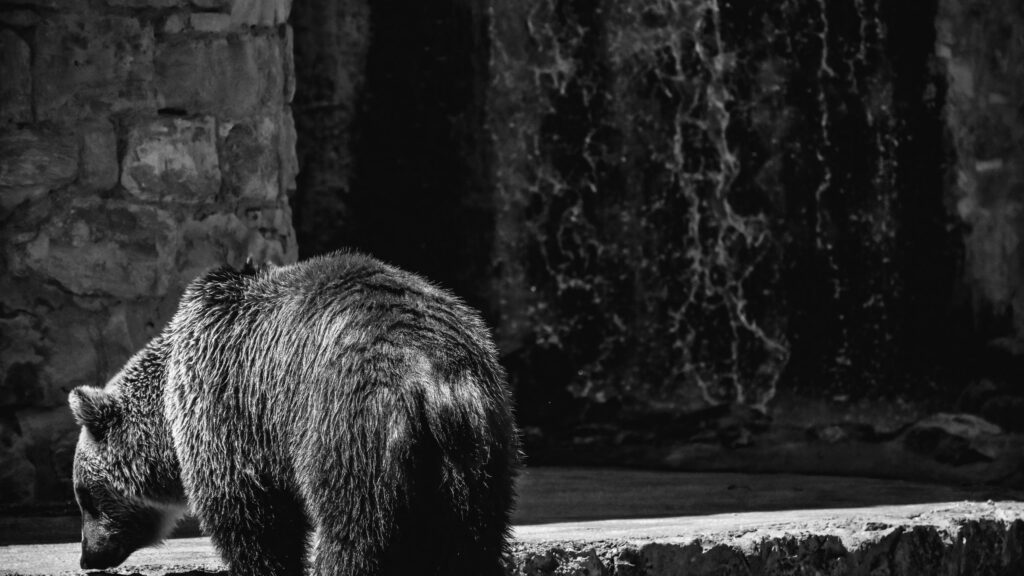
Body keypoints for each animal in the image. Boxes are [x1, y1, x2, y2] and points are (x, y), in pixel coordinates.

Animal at [68, 251, 520, 575]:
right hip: (480, 450)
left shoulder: (230, 406)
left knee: (354, 535)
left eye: (84, 495)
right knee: (470, 542)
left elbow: (254, 522)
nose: (88, 556)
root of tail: (433, 376)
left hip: (350, 430)